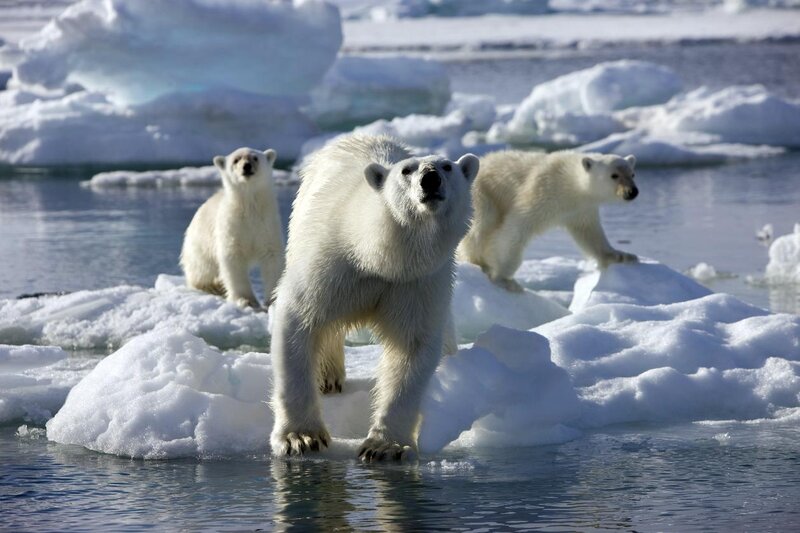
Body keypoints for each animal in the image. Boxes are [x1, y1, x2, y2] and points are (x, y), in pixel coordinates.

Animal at [180, 147, 285, 309]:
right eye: (236, 160)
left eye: (255, 158)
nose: (246, 166)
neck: (249, 207)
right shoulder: (232, 226)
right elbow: (233, 258)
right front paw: (246, 300)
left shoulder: (267, 224)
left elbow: (272, 257)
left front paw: (273, 300)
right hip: (199, 245)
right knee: (202, 269)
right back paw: (213, 286)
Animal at [270, 135, 479, 461]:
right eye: (406, 170)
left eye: (447, 166)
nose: (430, 179)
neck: (379, 257)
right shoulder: (333, 264)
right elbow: (300, 319)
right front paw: (300, 437)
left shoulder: (416, 282)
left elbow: (411, 347)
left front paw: (385, 446)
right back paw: (327, 377)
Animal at [458, 150, 638, 292]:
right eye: (614, 175)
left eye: (632, 174)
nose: (632, 191)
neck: (569, 183)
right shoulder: (542, 191)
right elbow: (515, 228)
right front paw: (505, 279)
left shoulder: (581, 209)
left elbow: (590, 234)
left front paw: (622, 256)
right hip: (481, 194)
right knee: (481, 226)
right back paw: (477, 263)